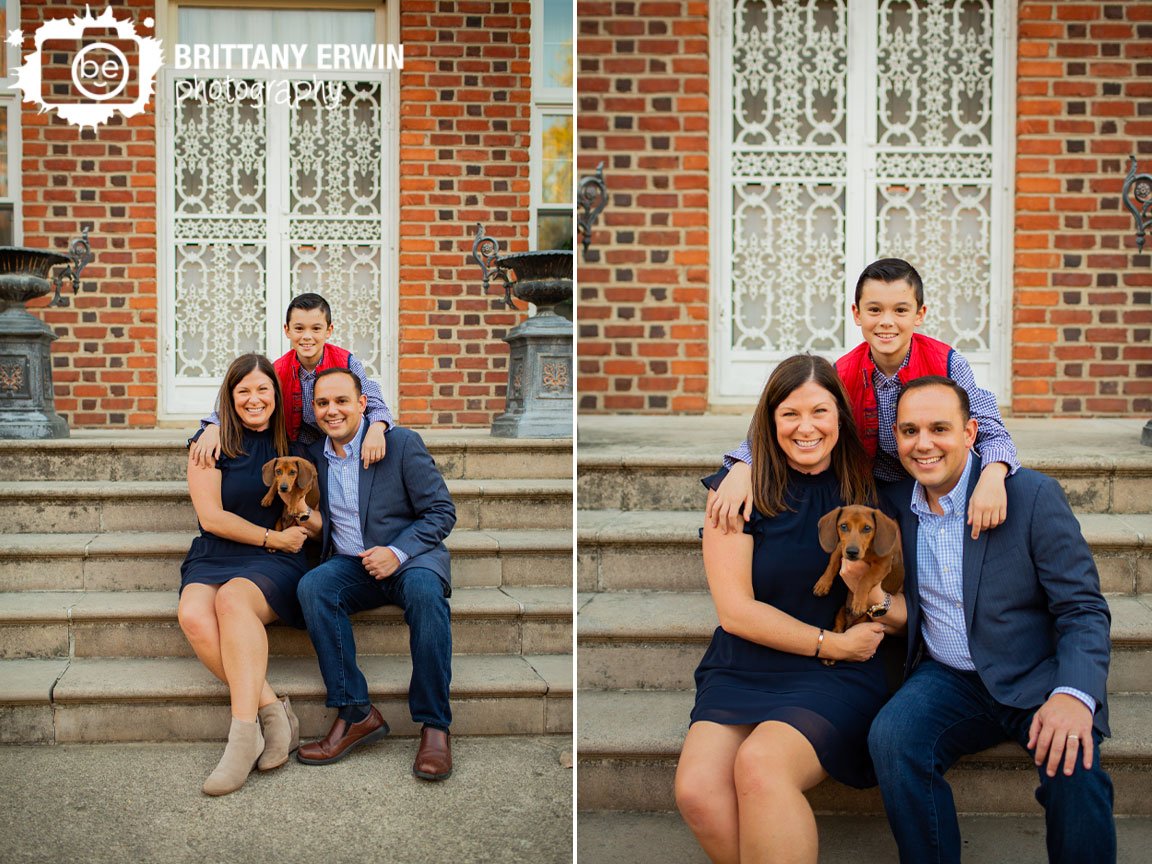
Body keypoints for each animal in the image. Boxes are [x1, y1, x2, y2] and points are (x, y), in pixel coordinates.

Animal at [815, 506, 903, 645]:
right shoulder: (841, 547)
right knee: (839, 627)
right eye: (843, 526)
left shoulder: (883, 564)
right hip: (841, 611)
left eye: (867, 528)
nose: (852, 552)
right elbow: (833, 562)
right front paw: (823, 583)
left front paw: (859, 602)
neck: (867, 551)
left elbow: (865, 578)